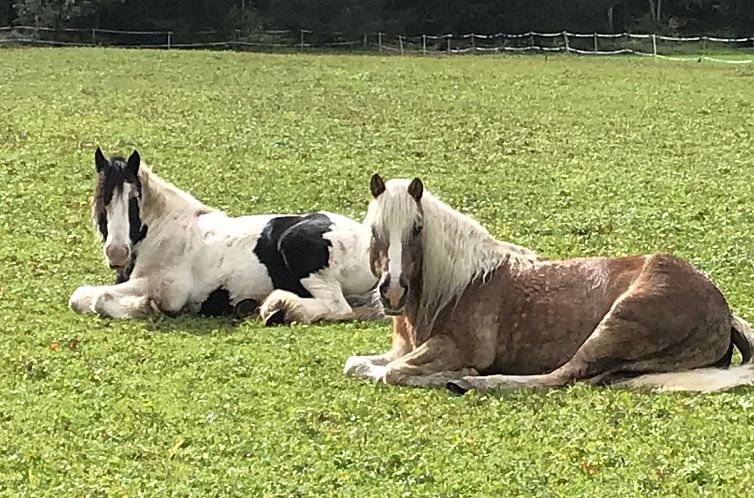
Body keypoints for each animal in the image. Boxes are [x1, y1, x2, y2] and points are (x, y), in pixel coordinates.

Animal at [69, 148, 383, 324]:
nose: (117, 253)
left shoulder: (168, 289)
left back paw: (278, 308)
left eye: (134, 198)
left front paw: (145, 306)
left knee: (338, 307)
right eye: (102, 198)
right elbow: (81, 297)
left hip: (299, 249)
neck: (163, 232)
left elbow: (97, 297)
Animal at [343, 174, 754, 393]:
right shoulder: (401, 349)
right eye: (375, 230)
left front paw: (459, 373)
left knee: (557, 377)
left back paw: (472, 382)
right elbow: (358, 365)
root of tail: (721, 307)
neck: (459, 286)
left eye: (416, 228)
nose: (393, 291)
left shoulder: (452, 347)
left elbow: (394, 373)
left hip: (616, 326)